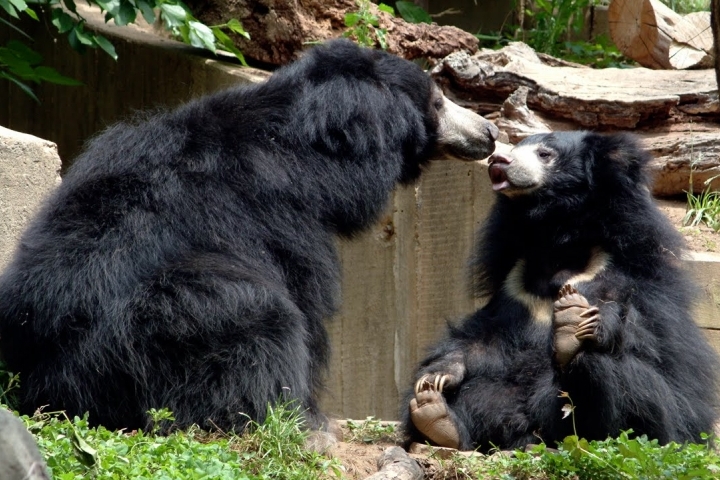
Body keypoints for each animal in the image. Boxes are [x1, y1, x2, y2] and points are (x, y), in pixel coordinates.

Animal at [0, 40, 498, 432]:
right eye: (437, 101)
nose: (490, 132)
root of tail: (52, 387)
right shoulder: (280, 219)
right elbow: (304, 299)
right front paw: (309, 415)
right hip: (152, 335)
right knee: (251, 312)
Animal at [402, 130, 720, 450]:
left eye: (545, 154)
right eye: (515, 148)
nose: (498, 159)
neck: (556, 244)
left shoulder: (628, 275)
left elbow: (645, 334)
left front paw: (577, 318)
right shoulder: (513, 288)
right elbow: (483, 339)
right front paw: (437, 376)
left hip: (658, 418)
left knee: (607, 372)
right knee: (478, 396)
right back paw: (437, 417)